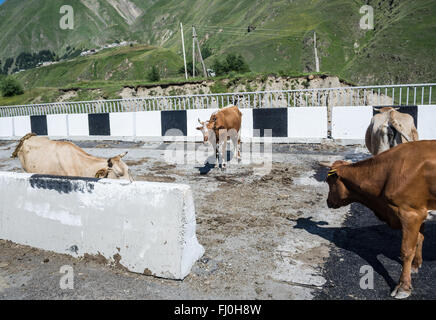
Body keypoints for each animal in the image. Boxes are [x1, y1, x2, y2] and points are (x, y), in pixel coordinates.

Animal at [320, 141, 436, 298]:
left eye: (328, 181)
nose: (328, 201)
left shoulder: (410, 213)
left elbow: (406, 250)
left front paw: (403, 286)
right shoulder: (421, 210)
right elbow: (419, 238)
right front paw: (415, 265)